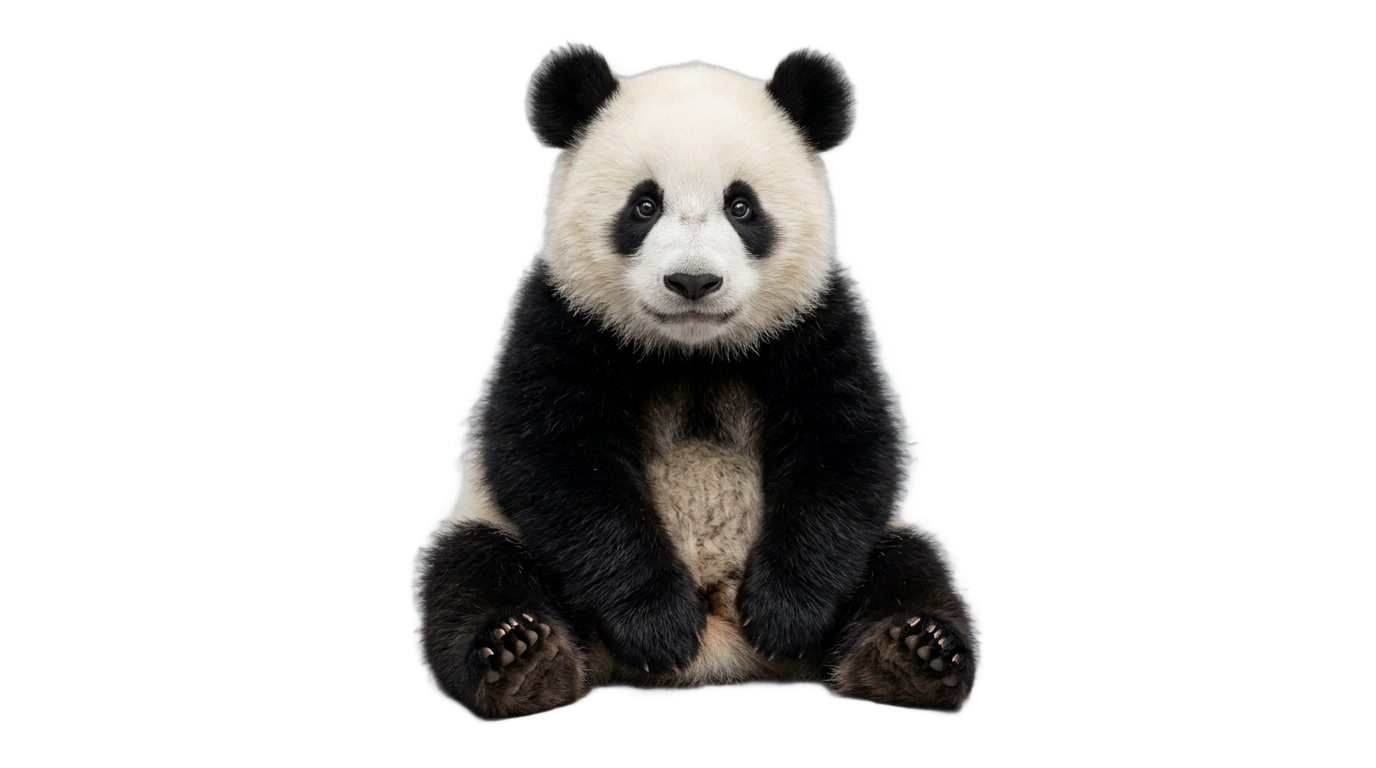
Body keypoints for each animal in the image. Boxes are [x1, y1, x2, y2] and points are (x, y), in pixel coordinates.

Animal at [420, 47, 973, 717]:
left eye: (742, 206)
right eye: (644, 205)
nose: (692, 282)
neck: (694, 351)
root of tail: (721, 648)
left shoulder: (814, 323)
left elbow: (844, 449)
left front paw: (785, 616)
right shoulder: (563, 319)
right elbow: (557, 461)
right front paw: (658, 627)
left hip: (877, 549)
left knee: (909, 567)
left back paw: (908, 655)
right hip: (497, 527)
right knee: (473, 571)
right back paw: (522, 658)